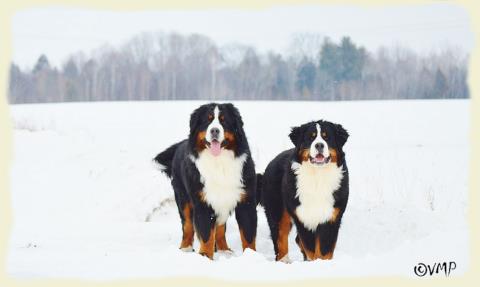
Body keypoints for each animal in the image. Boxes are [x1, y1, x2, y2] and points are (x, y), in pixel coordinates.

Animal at [156, 104, 256, 260]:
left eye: (224, 120)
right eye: (207, 121)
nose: (214, 130)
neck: (219, 162)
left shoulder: (246, 201)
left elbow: (248, 234)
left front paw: (251, 256)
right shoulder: (202, 202)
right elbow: (206, 233)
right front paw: (205, 256)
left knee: (220, 228)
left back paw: (224, 250)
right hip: (183, 198)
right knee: (187, 225)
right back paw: (185, 248)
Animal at [262, 120, 348, 264]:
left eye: (326, 137)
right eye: (311, 137)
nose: (319, 145)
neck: (317, 177)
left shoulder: (331, 218)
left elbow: (324, 251)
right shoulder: (303, 217)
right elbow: (311, 249)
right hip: (277, 211)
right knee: (280, 237)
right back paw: (285, 261)